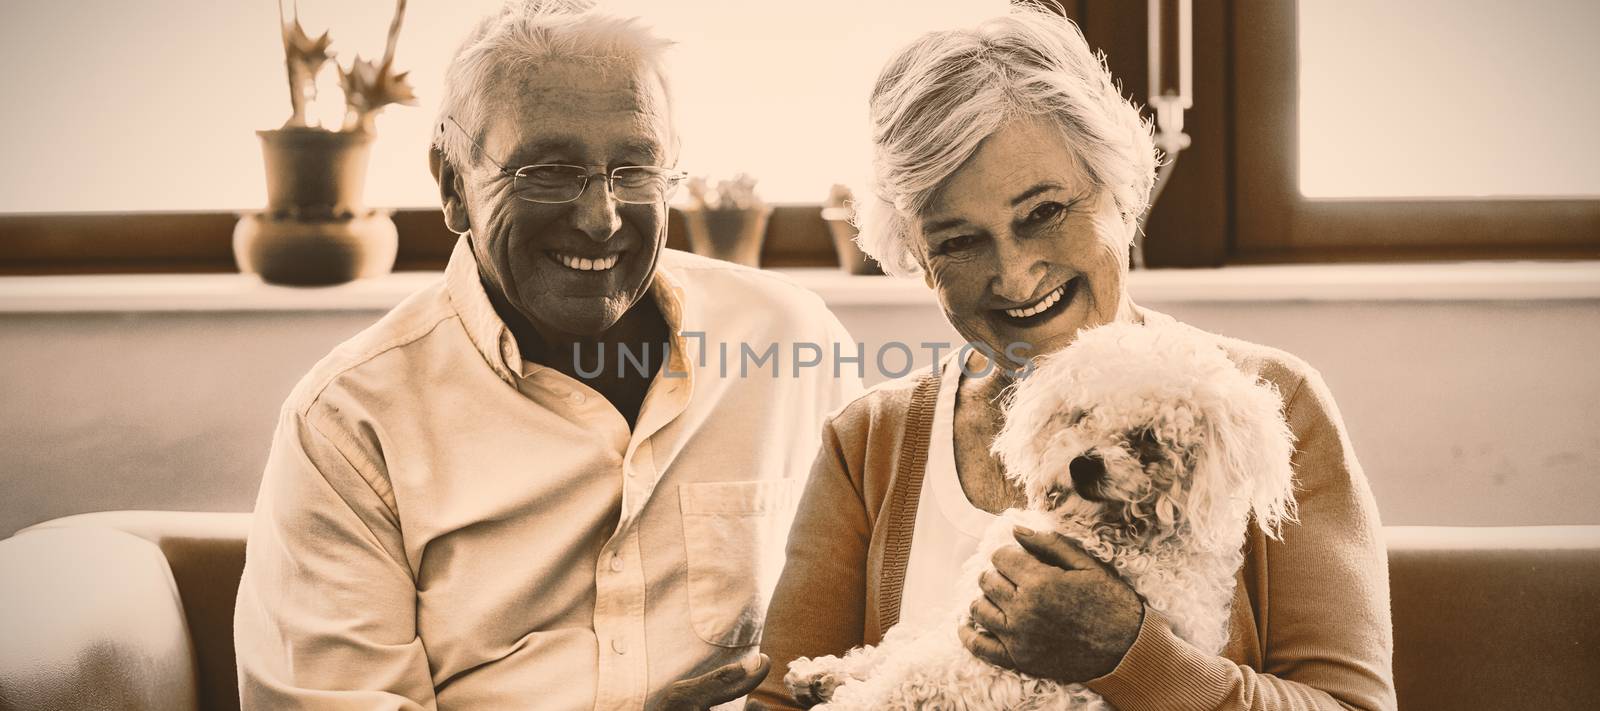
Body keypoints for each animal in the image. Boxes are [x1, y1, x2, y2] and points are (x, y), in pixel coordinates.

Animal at [787, 323, 1299, 711]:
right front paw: (828, 670)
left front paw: (846, 697)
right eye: (1081, 415)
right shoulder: (964, 611)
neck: (1111, 533)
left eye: (1149, 438)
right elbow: (896, 646)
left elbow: (902, 681)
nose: (1084, 465)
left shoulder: (1000, 664)